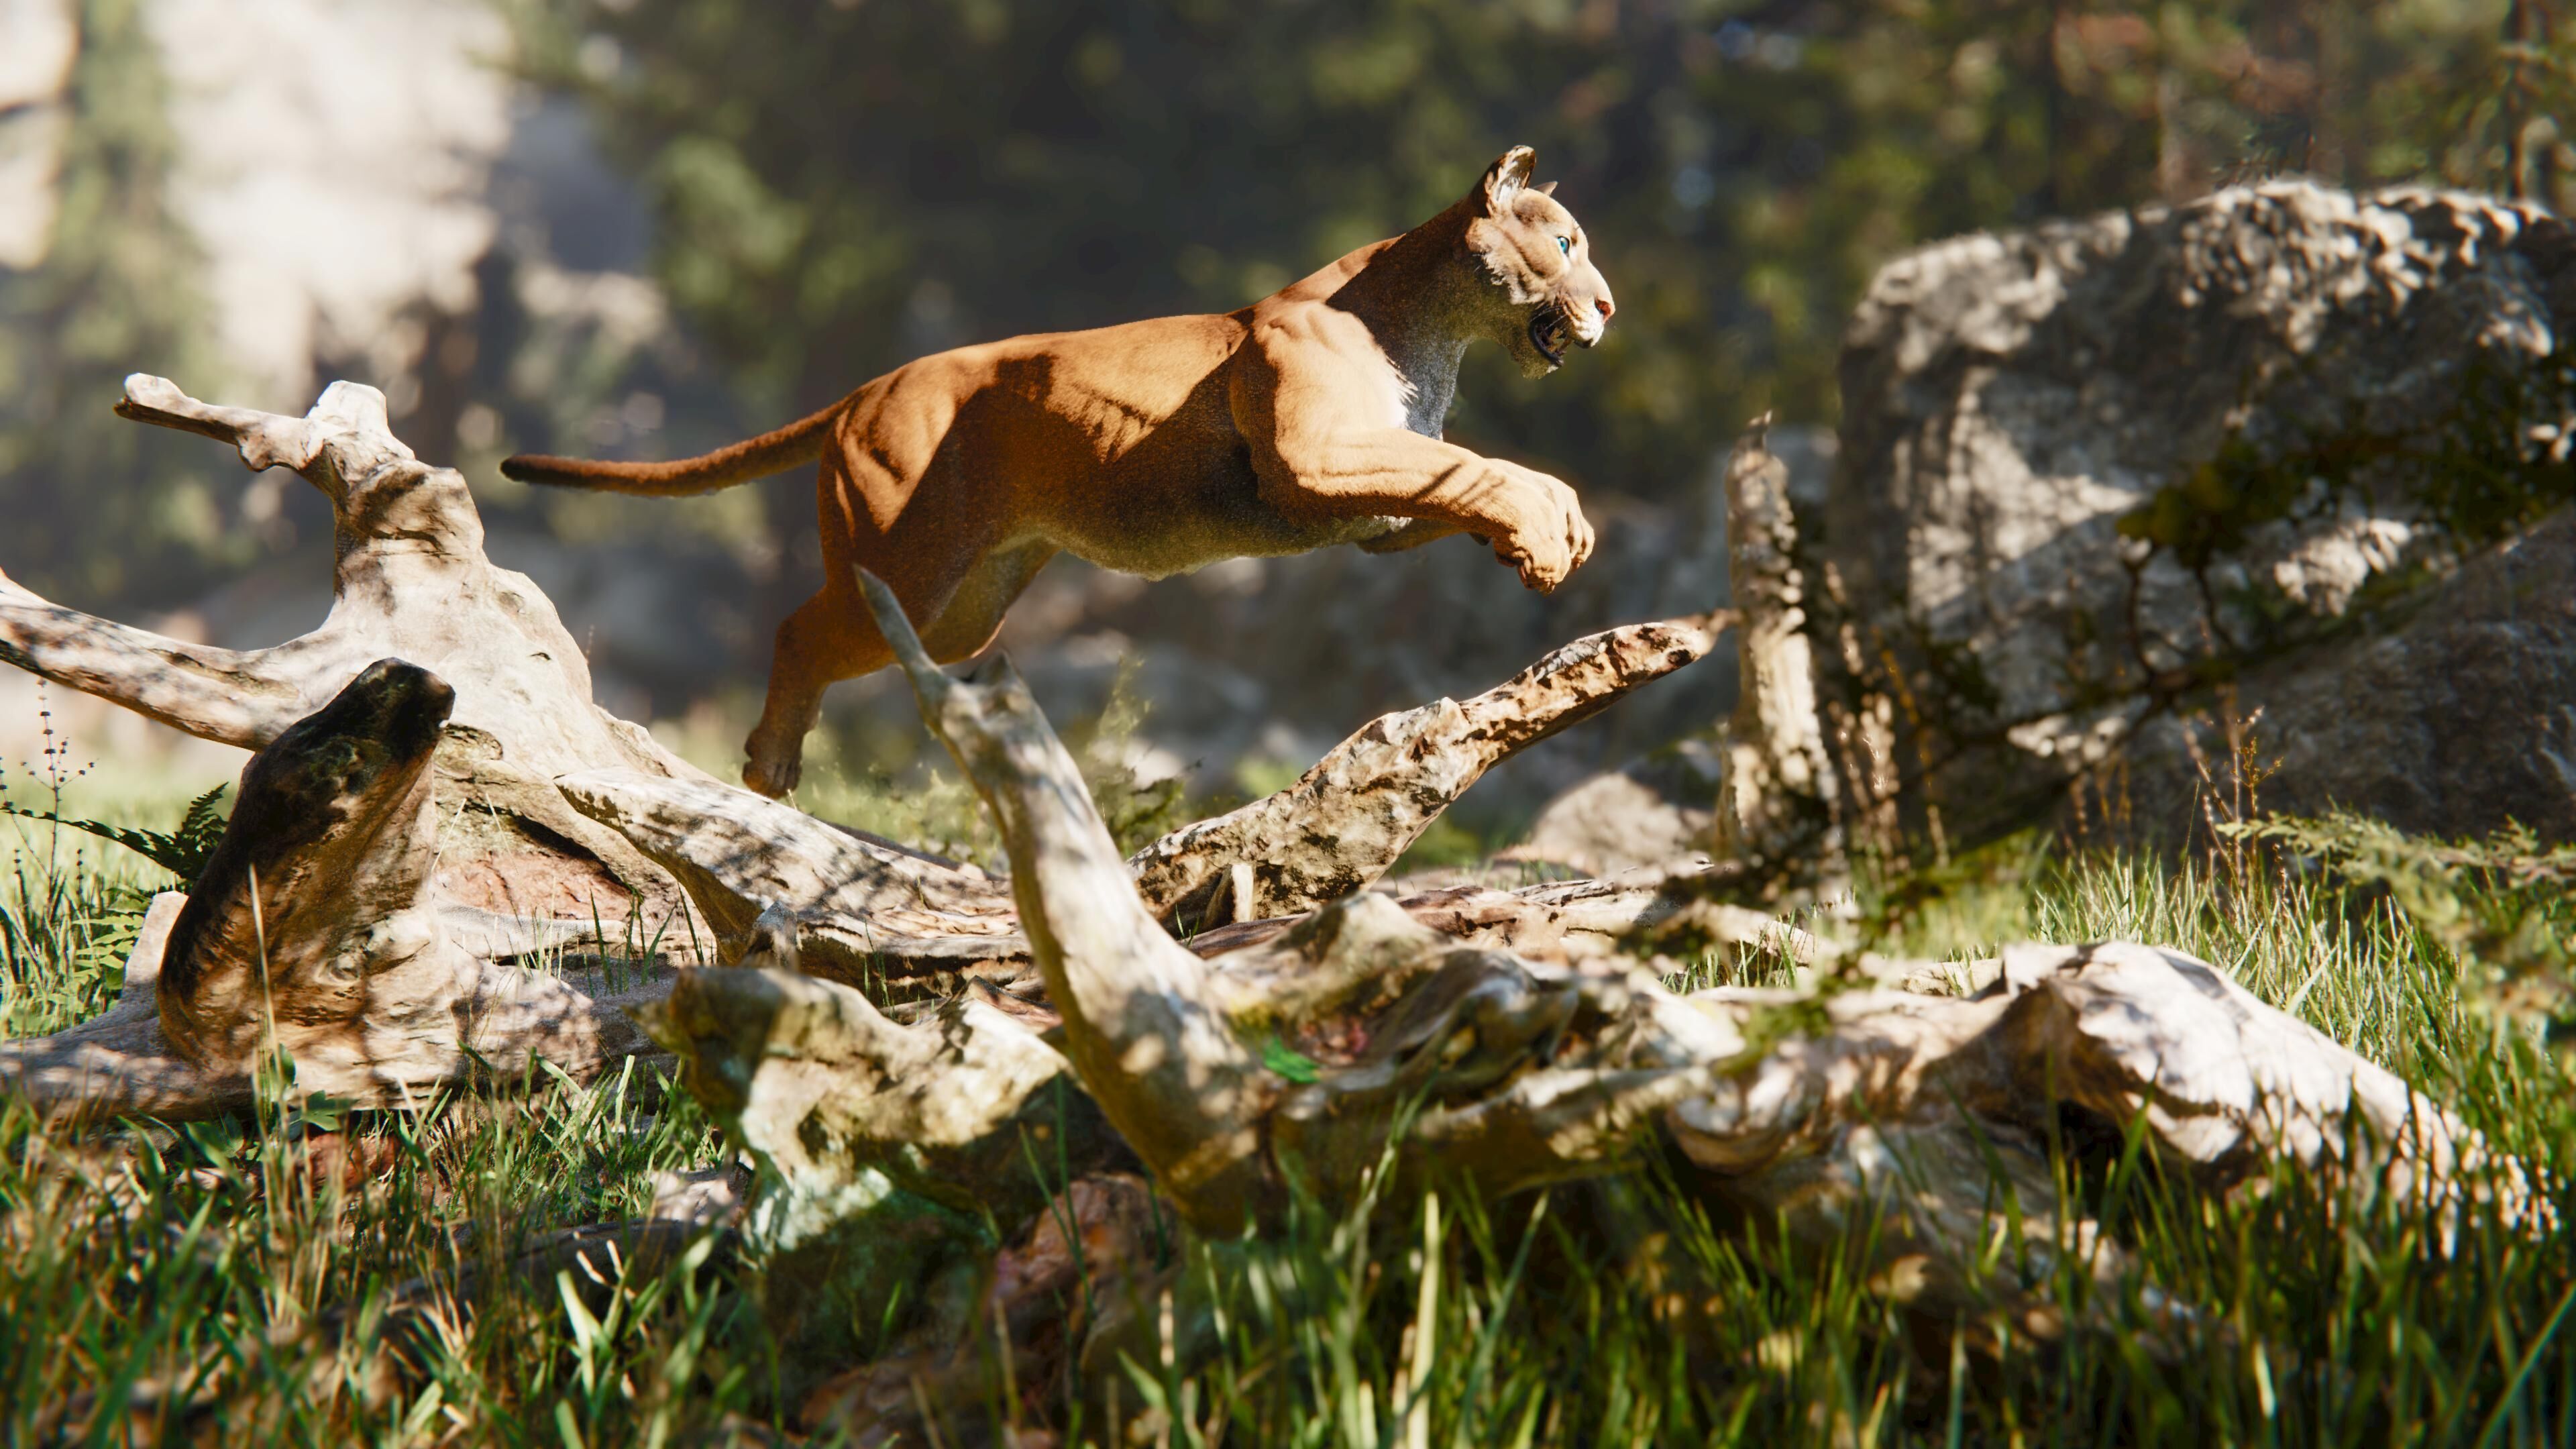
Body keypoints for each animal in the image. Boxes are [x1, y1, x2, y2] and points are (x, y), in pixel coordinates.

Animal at [501, 145, 1615, 798]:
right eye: (1564, 243)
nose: (1607, 307)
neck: (1435, 321)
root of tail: (866, 386)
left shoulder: (1367, 505)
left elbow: (1460, 473)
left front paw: (1556, 530)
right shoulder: (1310, 458)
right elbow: (1482, 466)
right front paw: (1550, 531)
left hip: (962, 611)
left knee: (839, 640)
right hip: (906, 567)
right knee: (795, 630)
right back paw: (769, 767)